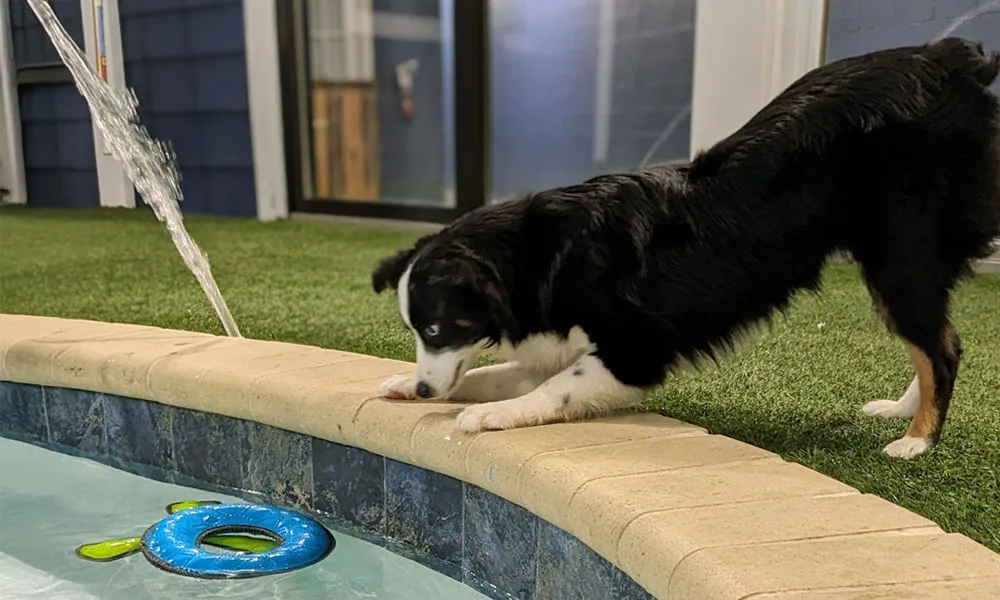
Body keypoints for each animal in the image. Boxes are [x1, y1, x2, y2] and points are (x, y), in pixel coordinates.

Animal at [370, 38, 1000, 460]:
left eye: (436, 328)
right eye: (415, 332)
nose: (425, 389)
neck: (541, 256)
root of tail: (944, 55)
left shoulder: (633, 351)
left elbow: (554, 389)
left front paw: (489, 415)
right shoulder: (559, 342)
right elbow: (497, 371)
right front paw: (412, 387)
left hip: (899, 253)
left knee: (942, 347)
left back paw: (916, 441)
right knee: (937, 340)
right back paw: (902, 412)